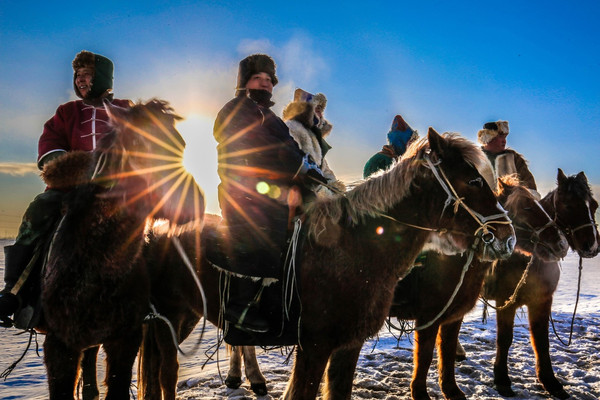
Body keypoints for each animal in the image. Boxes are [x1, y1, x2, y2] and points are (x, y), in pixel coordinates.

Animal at [38, 100, 206, 400]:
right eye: (138, 143)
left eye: (180, 143)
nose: (194, 202)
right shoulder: (59, 345)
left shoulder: (125, 340)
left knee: (166, 371)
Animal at [137, 129, 516, 400]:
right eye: (474, 180)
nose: (507, 237)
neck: (354, 251)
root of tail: (156, 227)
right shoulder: (315, 347)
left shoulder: (349, 346)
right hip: (169, 317)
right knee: (167, 374)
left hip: (182, 315)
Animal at [390, 177, 568, 400]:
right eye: (527, 206)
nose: (561, 244)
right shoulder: (429, 317)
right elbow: (425, 355)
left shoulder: (455, 316)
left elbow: (447, 350)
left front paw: (451, 390)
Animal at [486, 167, 596, 398]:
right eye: (569, 206)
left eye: (594, 205)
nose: (592, 246)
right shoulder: (505, 301)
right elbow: (505, 338)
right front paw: (501, 379)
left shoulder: (542, 301)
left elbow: (542, 340)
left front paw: (550, 381)